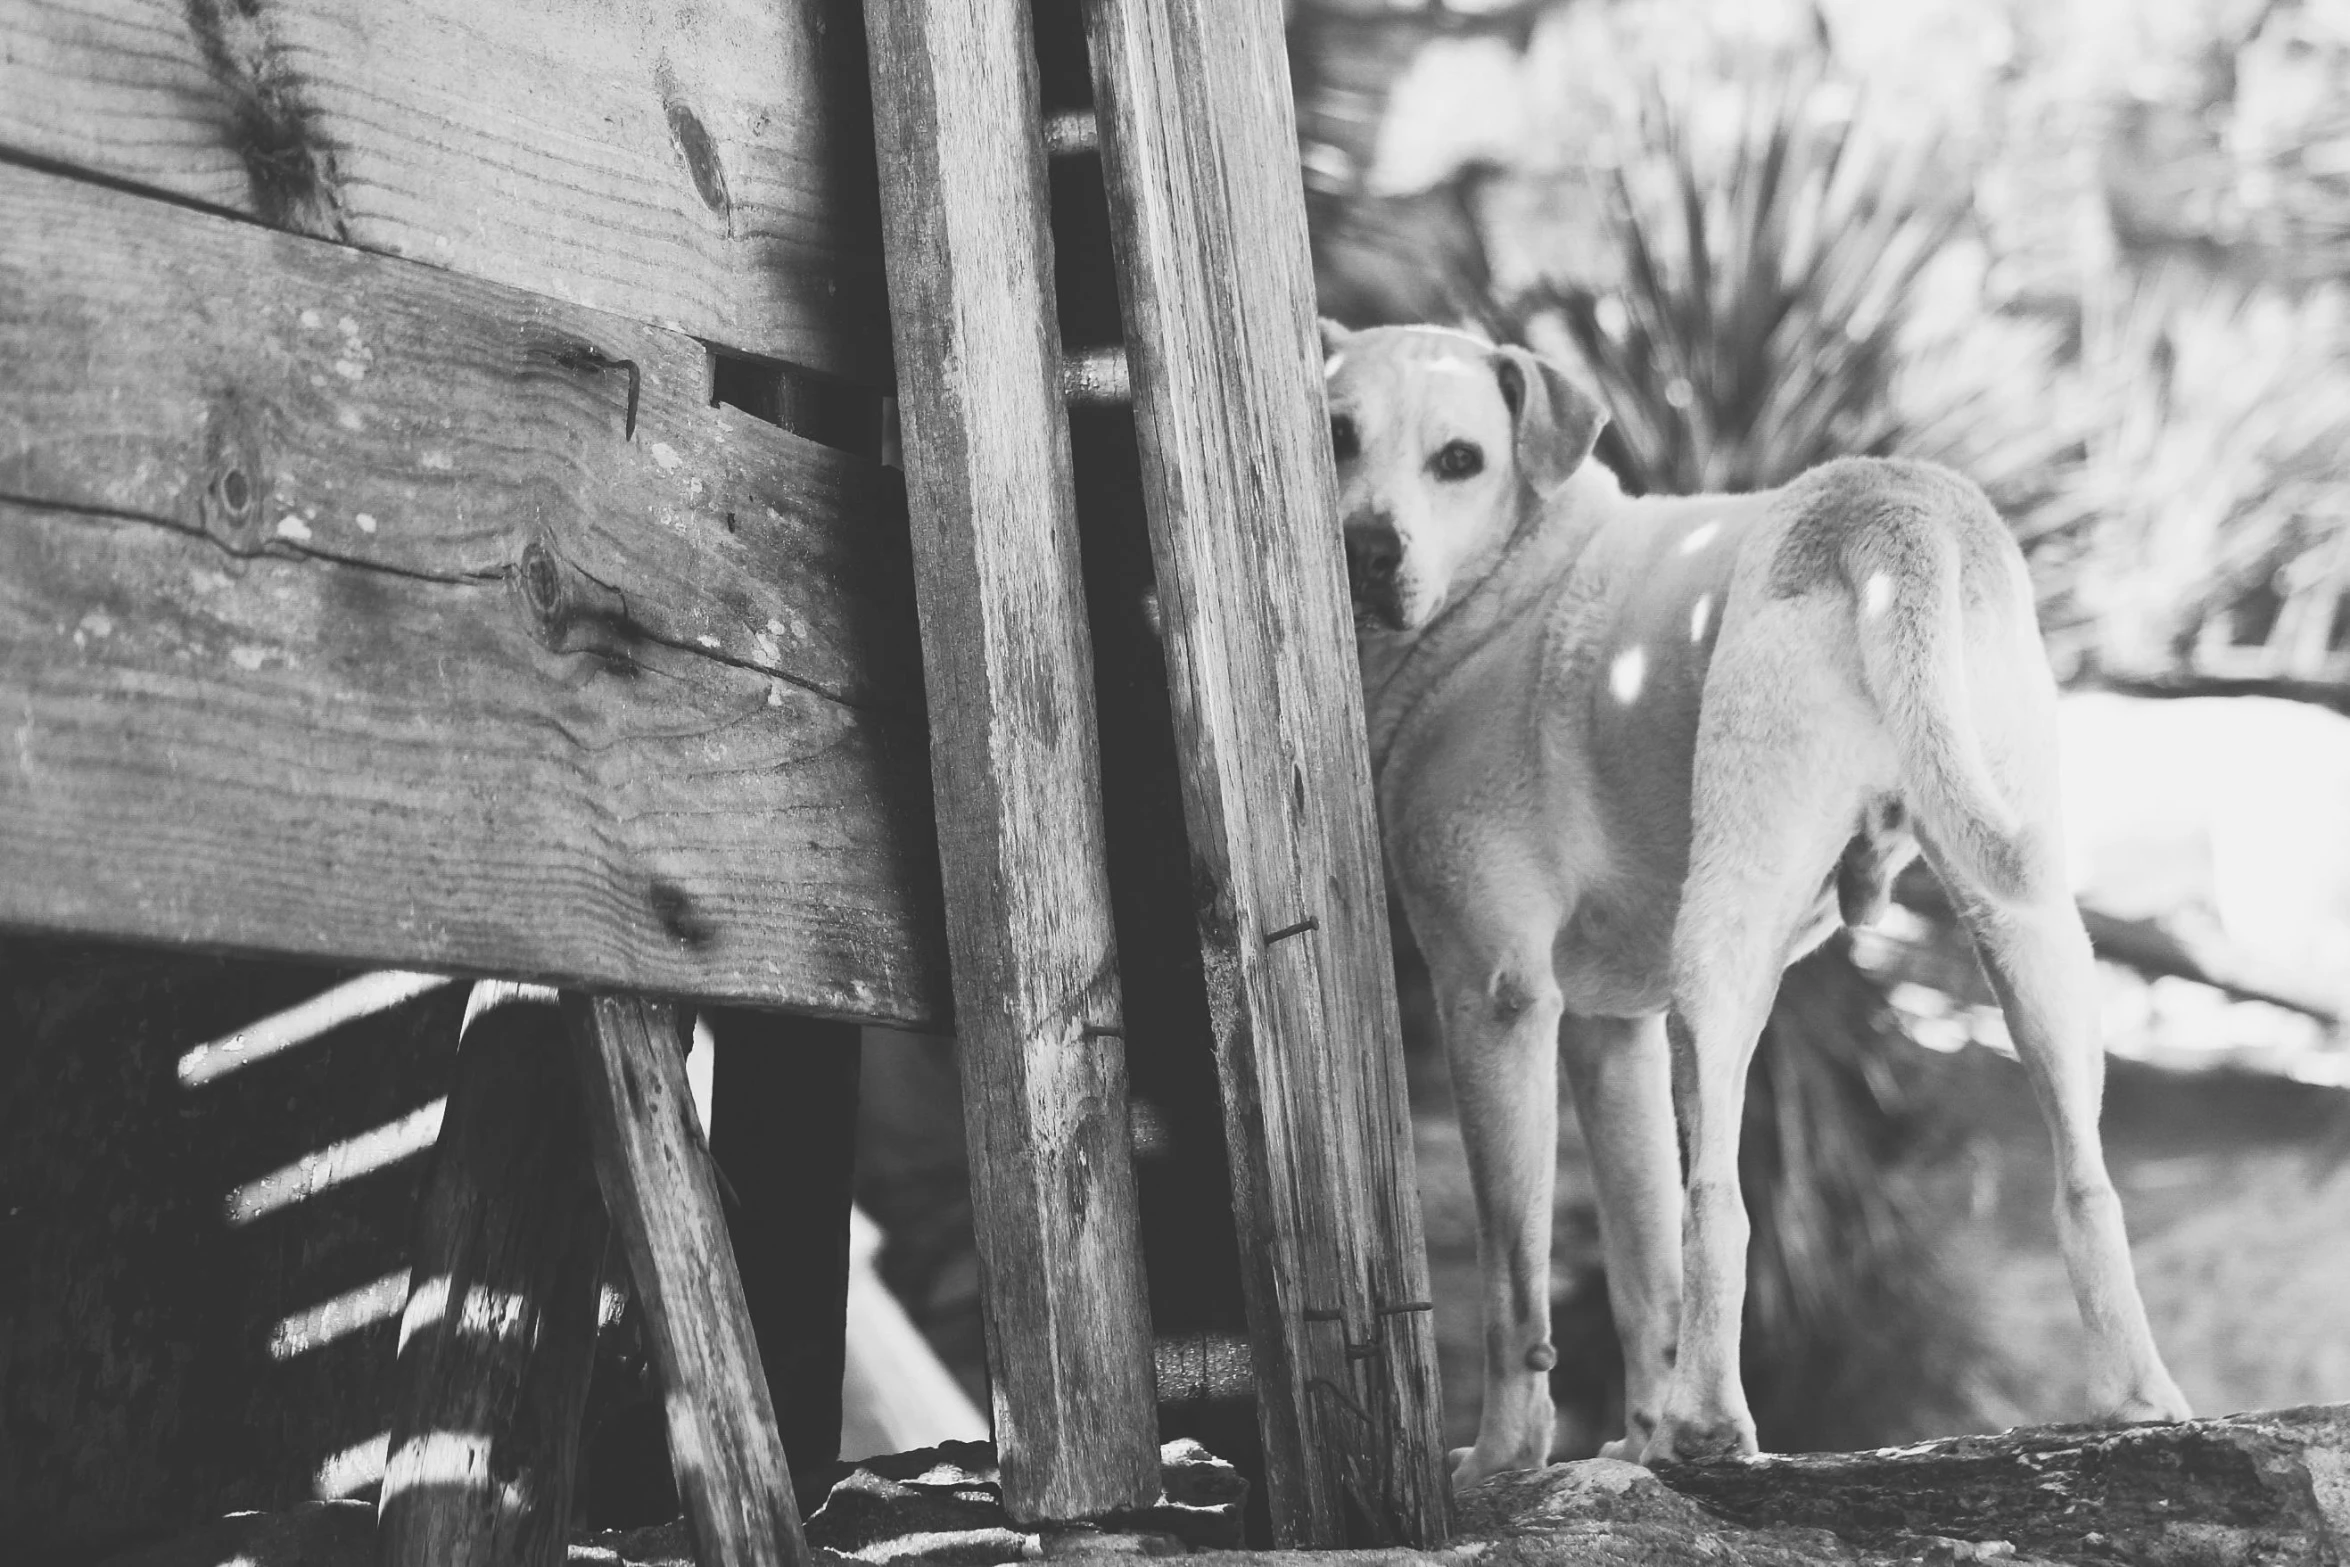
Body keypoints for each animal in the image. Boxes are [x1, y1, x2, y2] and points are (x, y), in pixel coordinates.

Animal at [1325, 321, 2180, 1484]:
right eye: (1336, 433)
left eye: (1459, 459)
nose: (1367, 549)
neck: (1510, 591)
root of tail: (1888, 505)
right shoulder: (1612, 1034)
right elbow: (1641, 1263)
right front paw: (1630, 1437)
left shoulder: (1494, 999)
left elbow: (1517, 1278)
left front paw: (1506, 1457)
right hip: (2032, 925)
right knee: (2085, 1180)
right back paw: (2137, 1402)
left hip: (1723, 942)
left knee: (1722, 1203)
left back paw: (1709, 1427)